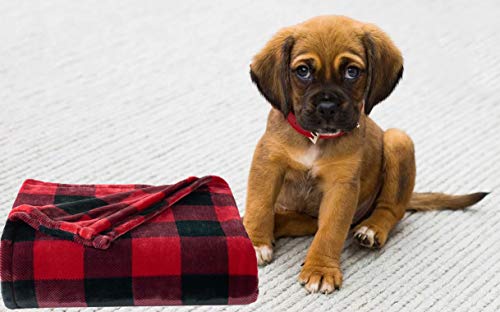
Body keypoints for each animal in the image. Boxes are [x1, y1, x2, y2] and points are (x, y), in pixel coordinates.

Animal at [244, 15, 486, 294]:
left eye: (352, 72)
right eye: (303, 71)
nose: (327, 106)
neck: (315, 139)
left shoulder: (341, 187)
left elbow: (331, 231)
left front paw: (321, 269)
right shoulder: (268, 164)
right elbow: (260, 206)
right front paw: (254, 242)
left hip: (398, 141)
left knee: (391, 209)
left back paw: (372, 229)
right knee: (295, 220)